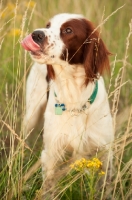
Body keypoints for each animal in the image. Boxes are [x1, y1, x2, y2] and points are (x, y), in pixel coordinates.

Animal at [21, 13, 114, 198]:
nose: (36, 34)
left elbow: (104, 186)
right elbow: (49, 189)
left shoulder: (105, 151)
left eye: (68, 30)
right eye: (48, 25)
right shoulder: (51, 153)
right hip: (31, 116)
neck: (74, 97)